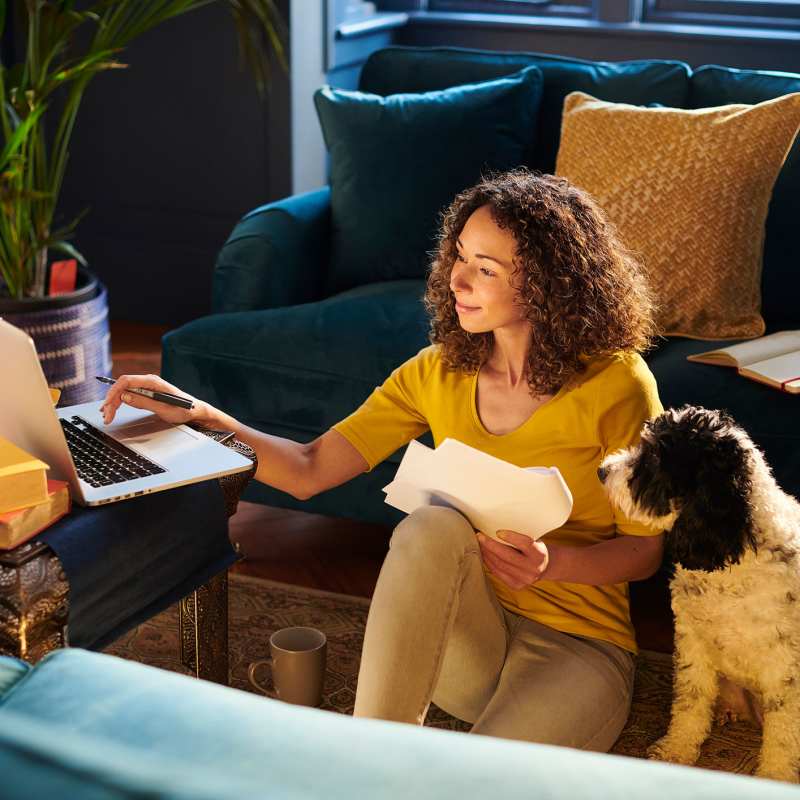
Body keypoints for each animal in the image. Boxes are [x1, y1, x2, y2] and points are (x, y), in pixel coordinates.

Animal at [600, 406, 800, 780]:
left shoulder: (785, 669)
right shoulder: (693, 639)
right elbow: (690, 702)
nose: (602, 470)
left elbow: (782, 738)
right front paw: (675, 751)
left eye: (654, 458)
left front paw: (773, 779)